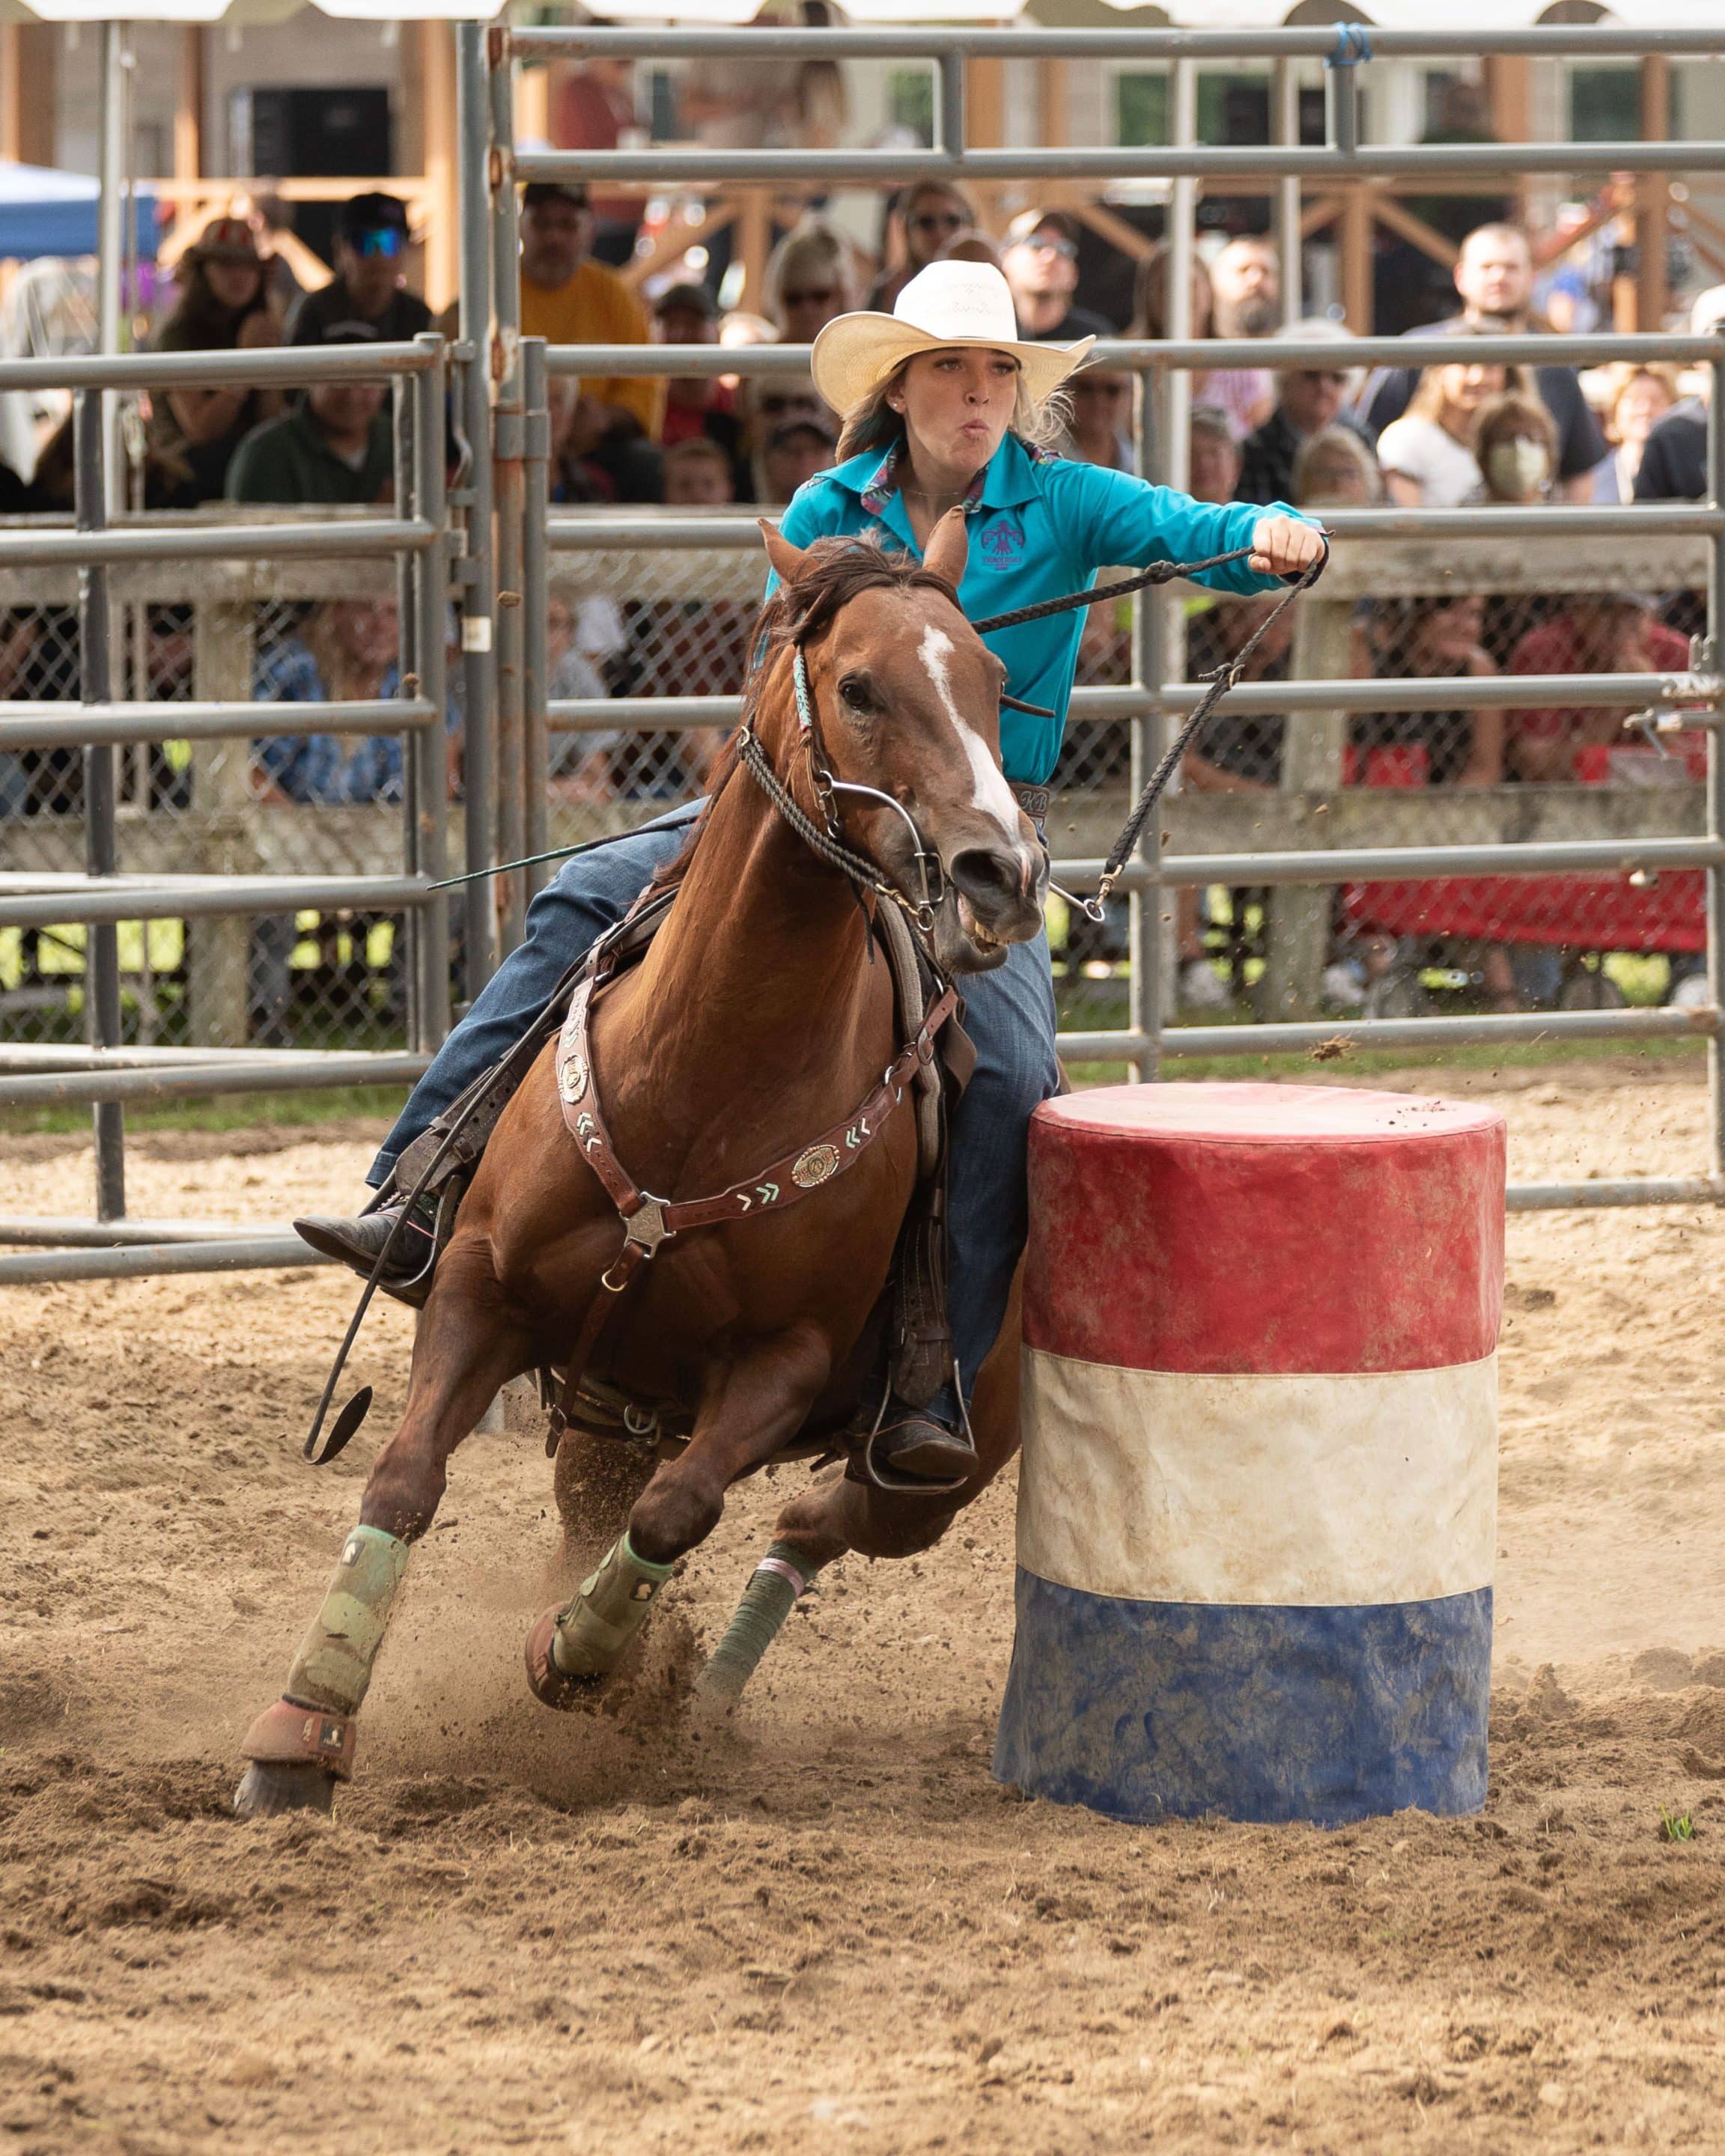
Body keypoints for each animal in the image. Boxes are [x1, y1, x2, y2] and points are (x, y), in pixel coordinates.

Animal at [234, 513, 1043, 1811]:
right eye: (859, 687)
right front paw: (301, 1731)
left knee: (810, 1521)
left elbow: (679, 1512)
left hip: (930, 1477)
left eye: (994, 680)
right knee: (629, 1514)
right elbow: (404, 1476)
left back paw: (686, 1694)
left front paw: (575, 1657)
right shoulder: (480, 1288)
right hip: (606, 1412)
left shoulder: (783, 1361)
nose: (1002, 873)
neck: (702, 1079)